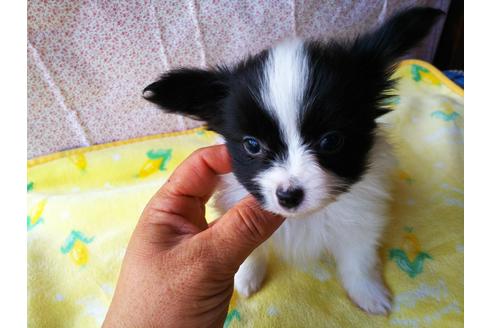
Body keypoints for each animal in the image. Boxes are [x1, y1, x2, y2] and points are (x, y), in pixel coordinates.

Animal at [141, 7, 442, 314]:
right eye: (252, 145)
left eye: (331, 141)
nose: (288, 196)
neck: (305, 219)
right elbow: (250, 253)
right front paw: (245, 278)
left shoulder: (360, 219)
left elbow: (359, 258)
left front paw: (369, 294)